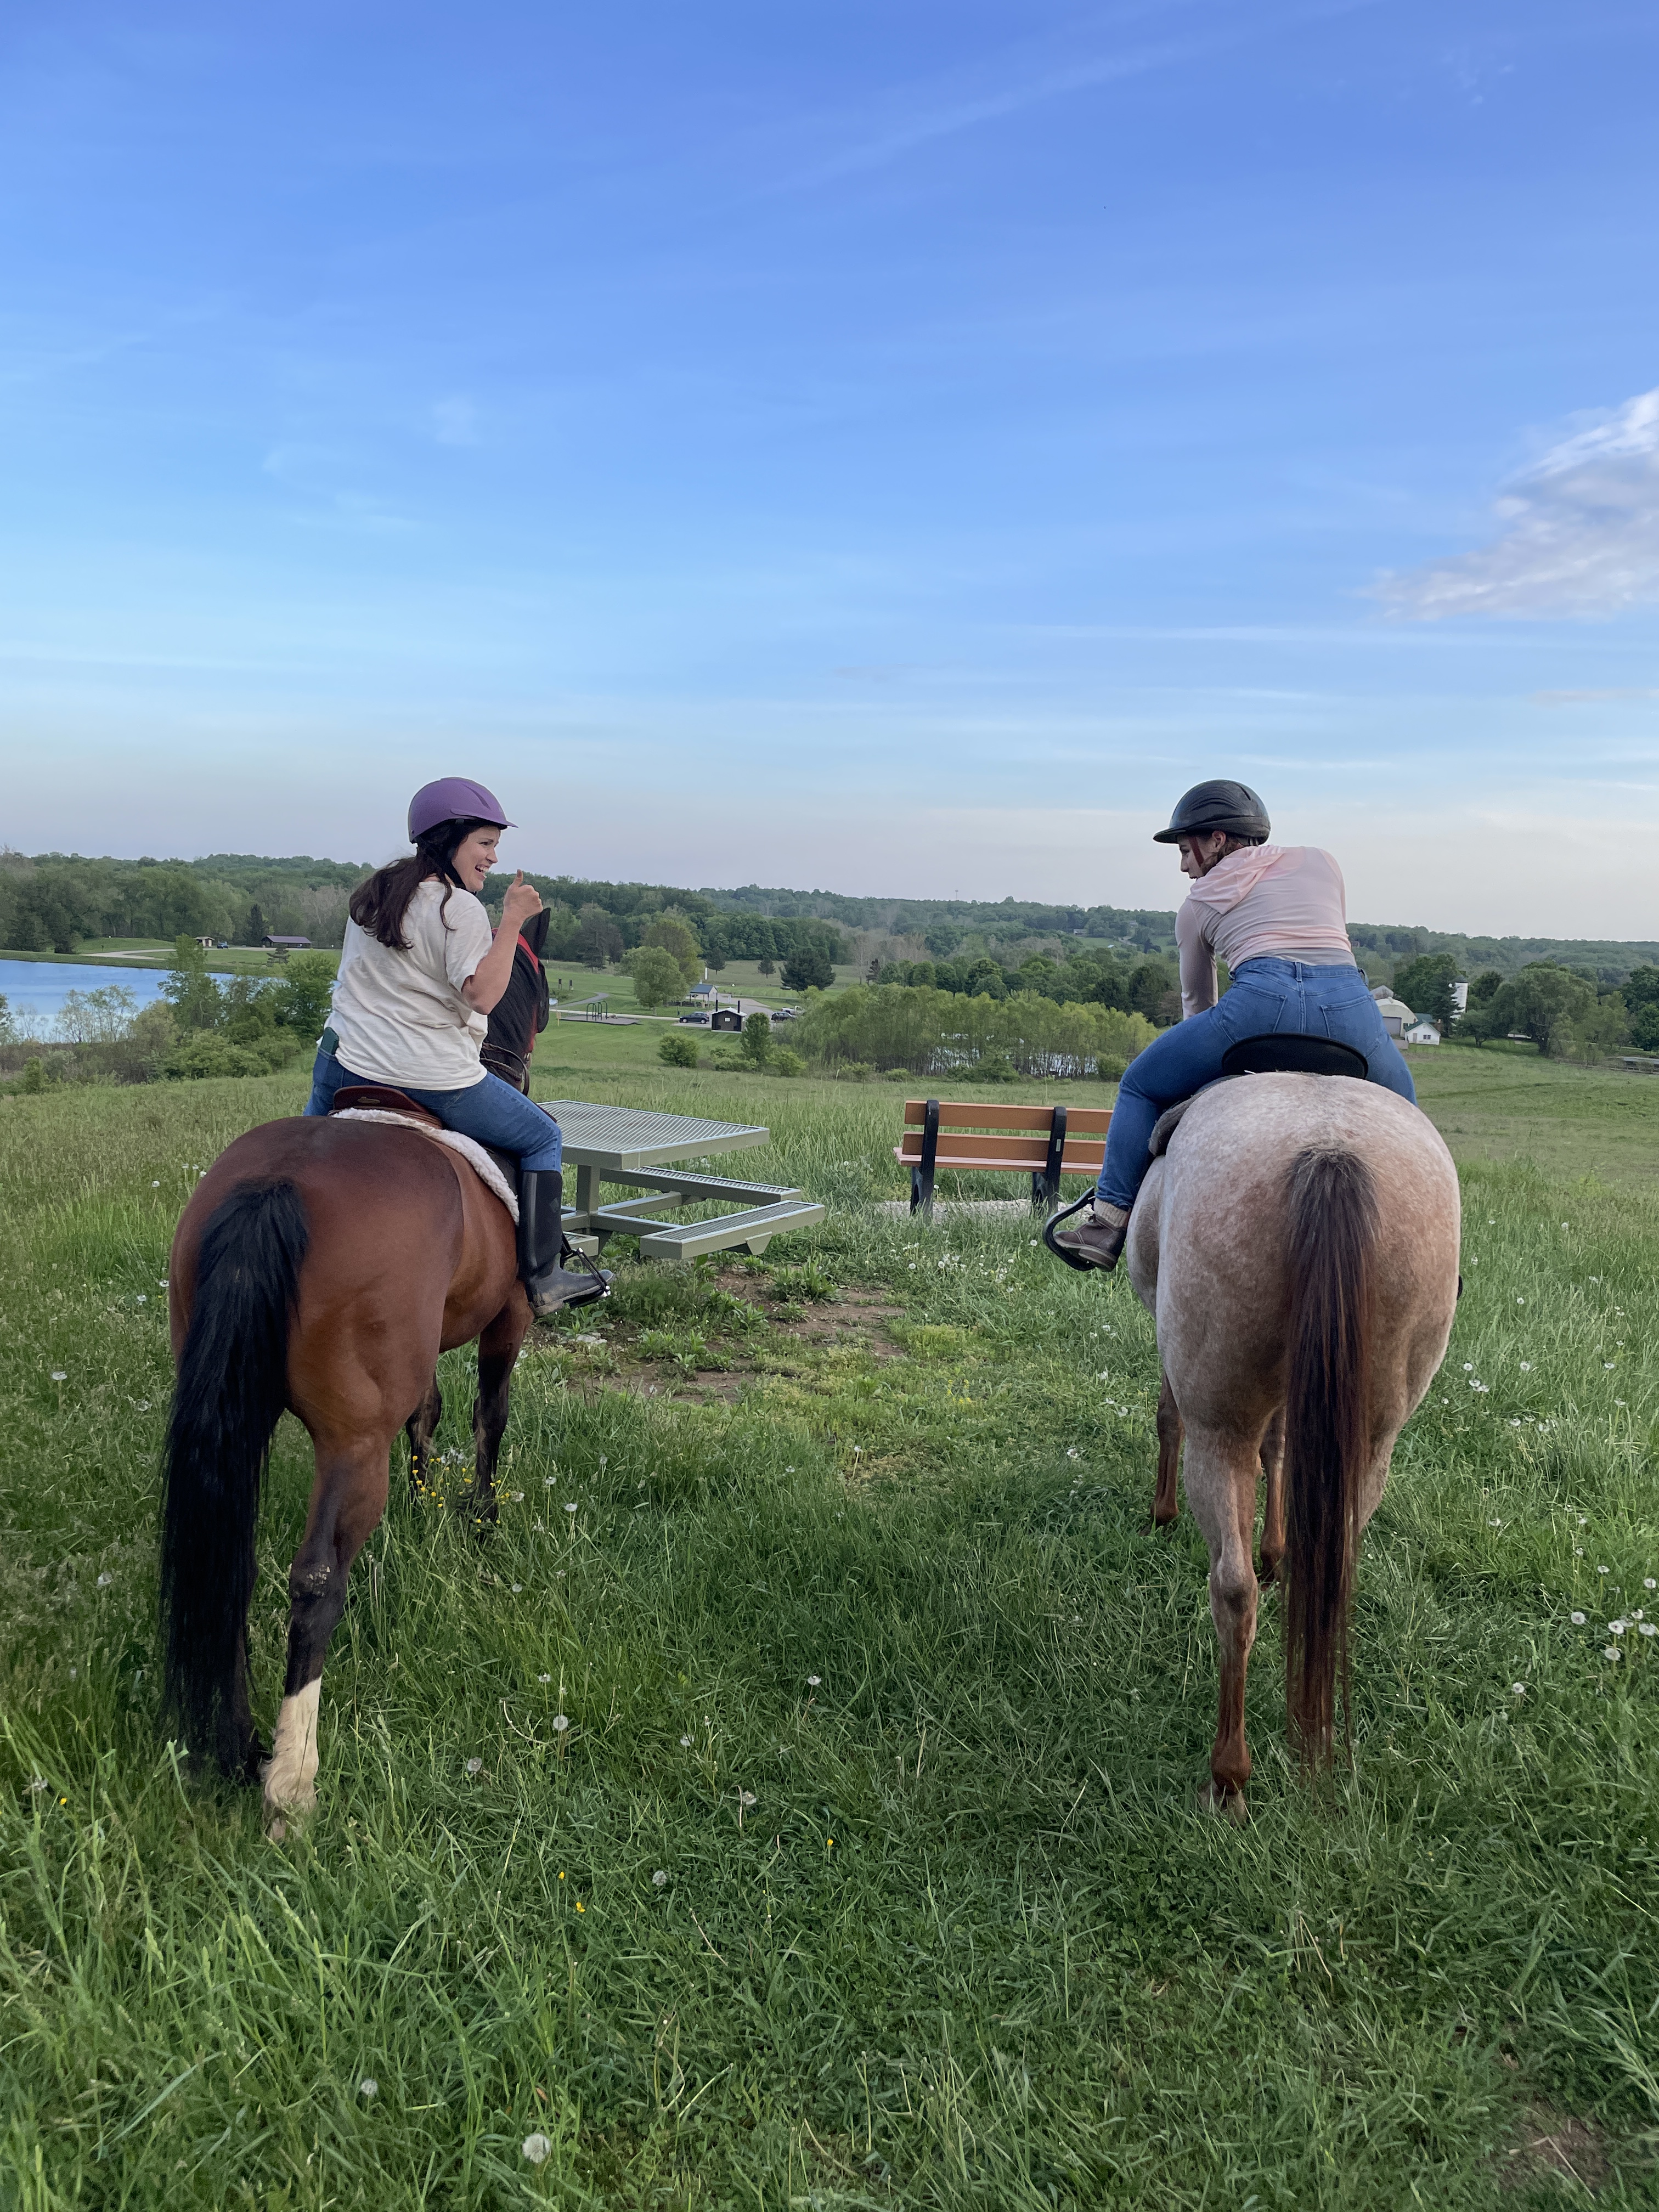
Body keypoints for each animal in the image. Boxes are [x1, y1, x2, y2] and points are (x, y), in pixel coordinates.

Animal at [1124, 1070, 1460, 1814]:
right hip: (1371, 1443)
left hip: (1219, 1429)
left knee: (1232, 1589)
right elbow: (1280, 1451)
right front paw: (1276, 1550)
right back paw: (1313, 1734)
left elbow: (1168, 1416)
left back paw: (1228, 1775)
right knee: (1327, 1577)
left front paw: (1161, 1514)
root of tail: (1328, 1152)